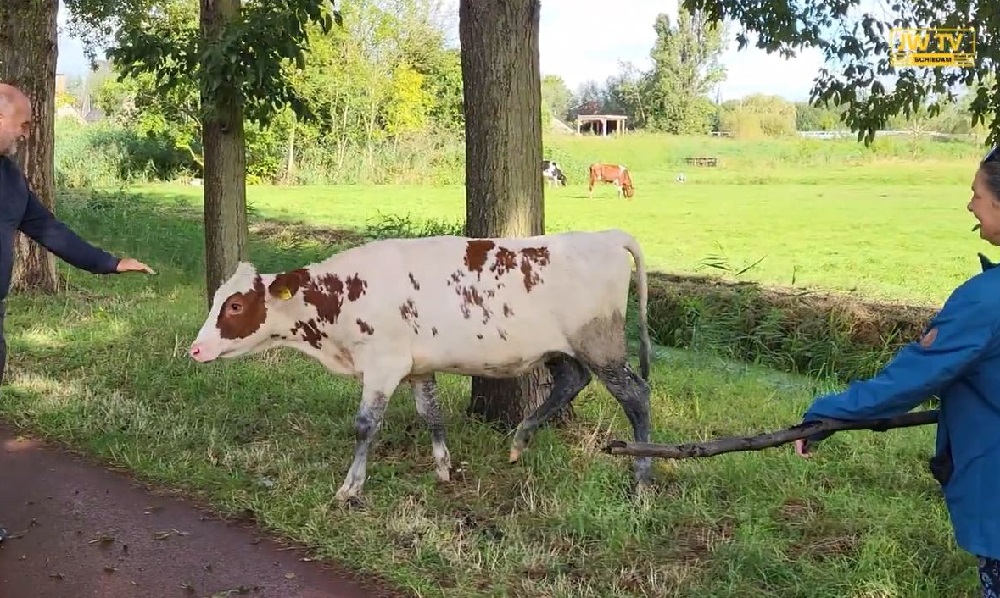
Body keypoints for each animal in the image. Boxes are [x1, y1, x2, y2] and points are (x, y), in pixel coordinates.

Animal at [188, 229, 654, 504]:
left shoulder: (383, 363)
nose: (195, 349)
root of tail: (606, 235)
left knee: (636, 396)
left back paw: (642, 478)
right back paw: (520, 440)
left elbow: (365, 425)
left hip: (601, 343)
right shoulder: (417, 366)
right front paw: (444, 469)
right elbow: (431, 413)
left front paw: (350, 487)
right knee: (572, 380)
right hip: (563, 349)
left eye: (234, 305)